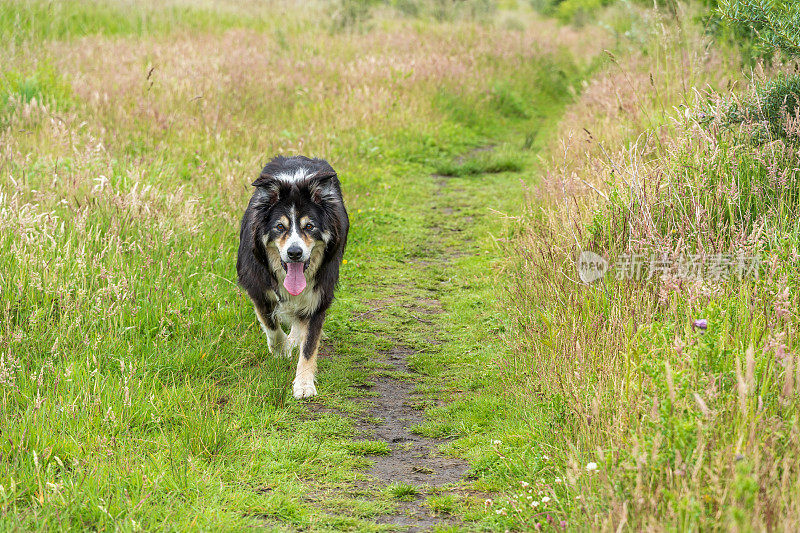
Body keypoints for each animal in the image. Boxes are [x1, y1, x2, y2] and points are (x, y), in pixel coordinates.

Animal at [238, 156, 350, 396]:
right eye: (280, 227)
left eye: (310, 226)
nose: (294, 253)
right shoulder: (257, 285)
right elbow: (270, 324)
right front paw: (281, 349)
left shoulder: (319, 295)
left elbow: (309, 345)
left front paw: (304, 383)